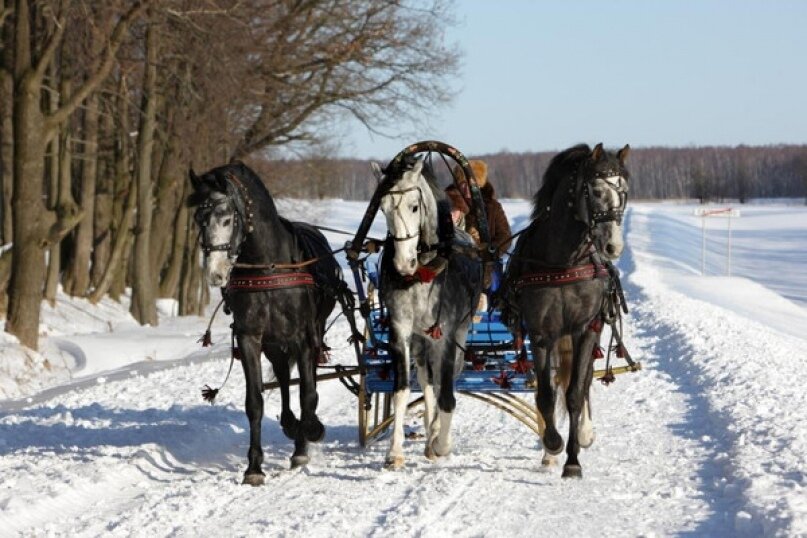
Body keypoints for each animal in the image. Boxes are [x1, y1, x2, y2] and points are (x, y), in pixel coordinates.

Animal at [189, 161, 354, 484]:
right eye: (198, 218)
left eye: (226, 218)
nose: (215, 274)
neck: (269, 266)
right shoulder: (250, 338)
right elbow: (255, 402)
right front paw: (254, 467)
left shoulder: (303, 337)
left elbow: (308, 392)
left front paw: (309, 435)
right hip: (275, 343)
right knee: (283, 377)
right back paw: (290, 422)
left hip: (310, 334)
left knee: (305, 379)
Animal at [376, 159, 482, 468]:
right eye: (383, 208)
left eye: (414, 206)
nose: (403, 263)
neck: (425, 272)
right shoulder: (400, 331)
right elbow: (401, 391)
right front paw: (394, 452)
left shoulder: (445, 336)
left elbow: (446, 395)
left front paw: (441, 444)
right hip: (421, 340)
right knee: (427, 379)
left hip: (456, 334)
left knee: (447, 378)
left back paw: (435, 434)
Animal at [498, 142, 632, 478]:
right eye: (595, 190)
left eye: (624, 191)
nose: (614, 247)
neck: (563, 261)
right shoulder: (541, 333)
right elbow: (545, 394)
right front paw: (553, 443)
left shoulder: (585, 329)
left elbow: (574, 392)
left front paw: (573, 458)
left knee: (581, 383)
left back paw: (584, 433)